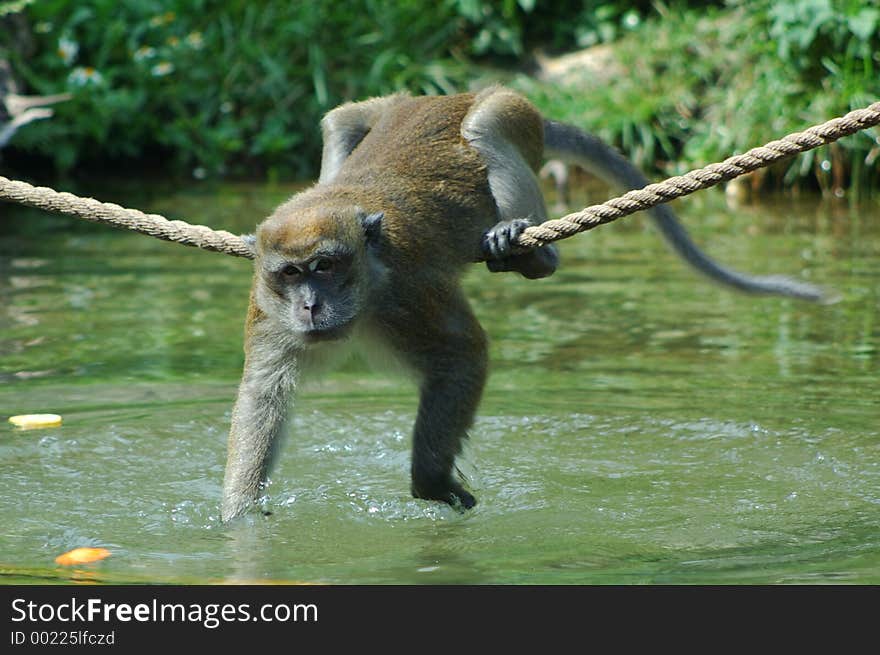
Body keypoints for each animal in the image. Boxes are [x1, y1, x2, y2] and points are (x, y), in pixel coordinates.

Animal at [220, 84, 824, 524]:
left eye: (326, 267)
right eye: (291, 273)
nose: (309, 307)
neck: (366, 283)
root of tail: (449, 94)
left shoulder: (410, 290)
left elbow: (463, 355)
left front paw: (432, 481)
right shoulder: (267, 311)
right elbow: (264, 394)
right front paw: (240, 516)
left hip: (513, 113)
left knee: (485, 128)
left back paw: (532, 251)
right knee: (341, 121)